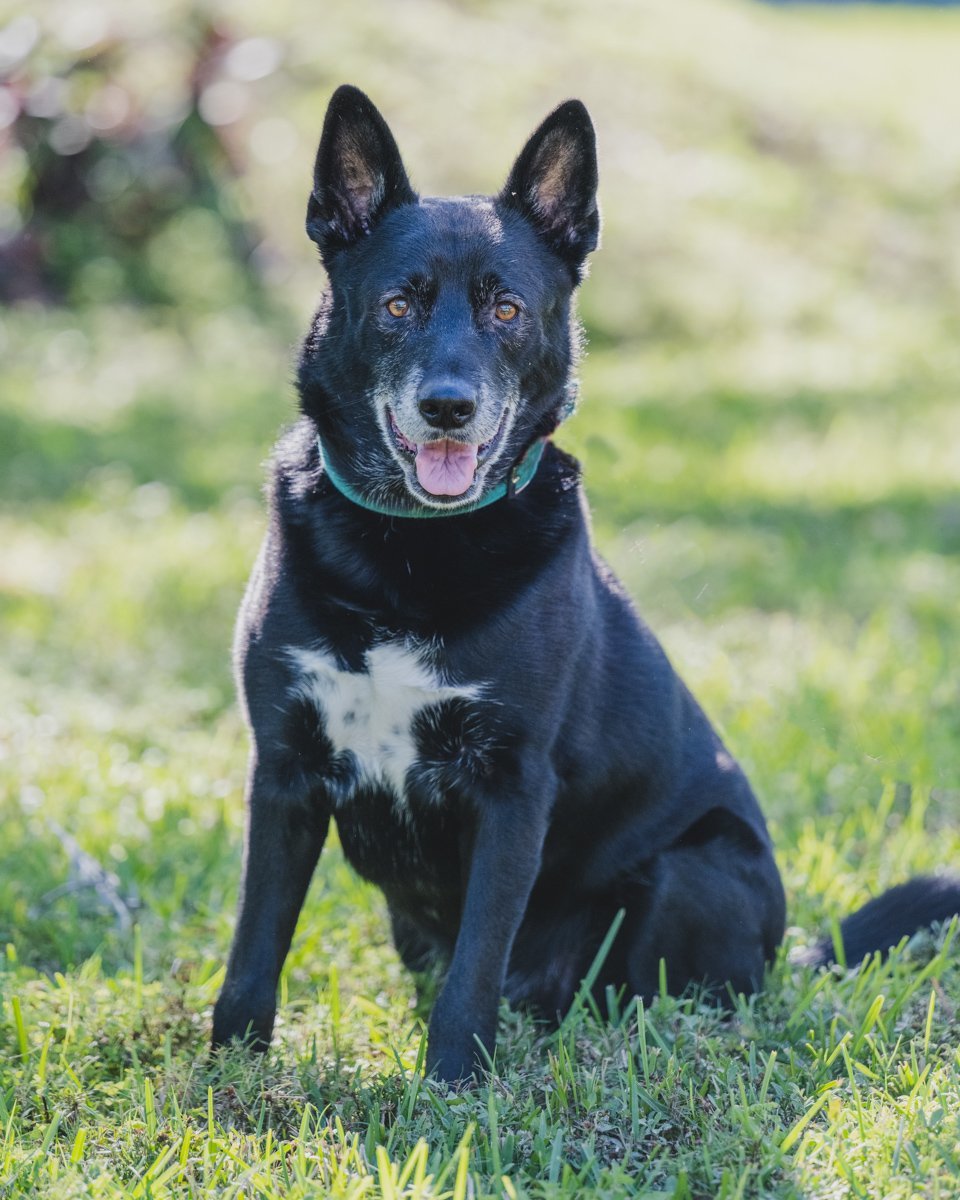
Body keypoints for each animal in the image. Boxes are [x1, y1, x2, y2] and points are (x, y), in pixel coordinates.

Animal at [212, 82, 960, 1080]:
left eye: (507, 311)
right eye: (399, 305)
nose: (447, 407)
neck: (409, 544)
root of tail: (793, 950)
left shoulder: (511, 785)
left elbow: (476, 966)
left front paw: (454, 1084)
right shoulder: (285, 771)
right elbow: (256, 944)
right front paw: (226, 1075)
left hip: (693, 869)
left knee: (650, 998)